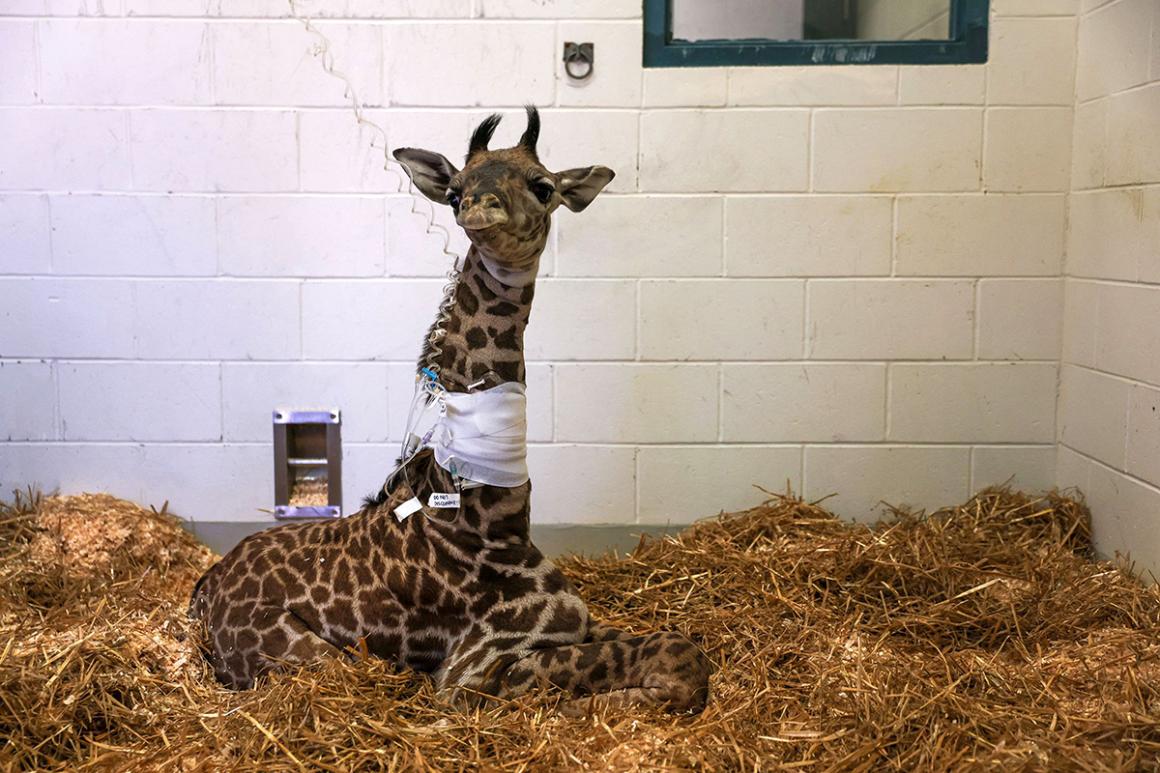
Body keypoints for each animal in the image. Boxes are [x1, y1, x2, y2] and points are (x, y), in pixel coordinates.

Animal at [189, 108, 712, 713]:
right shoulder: (472, 672)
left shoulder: (574, 623)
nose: (480, 209)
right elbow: (663, 657)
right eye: (456, 189)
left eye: (544, 186)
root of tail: (205, 588)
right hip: (314, 659)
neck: (492, 516)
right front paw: (604, 705)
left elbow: (678, 645)